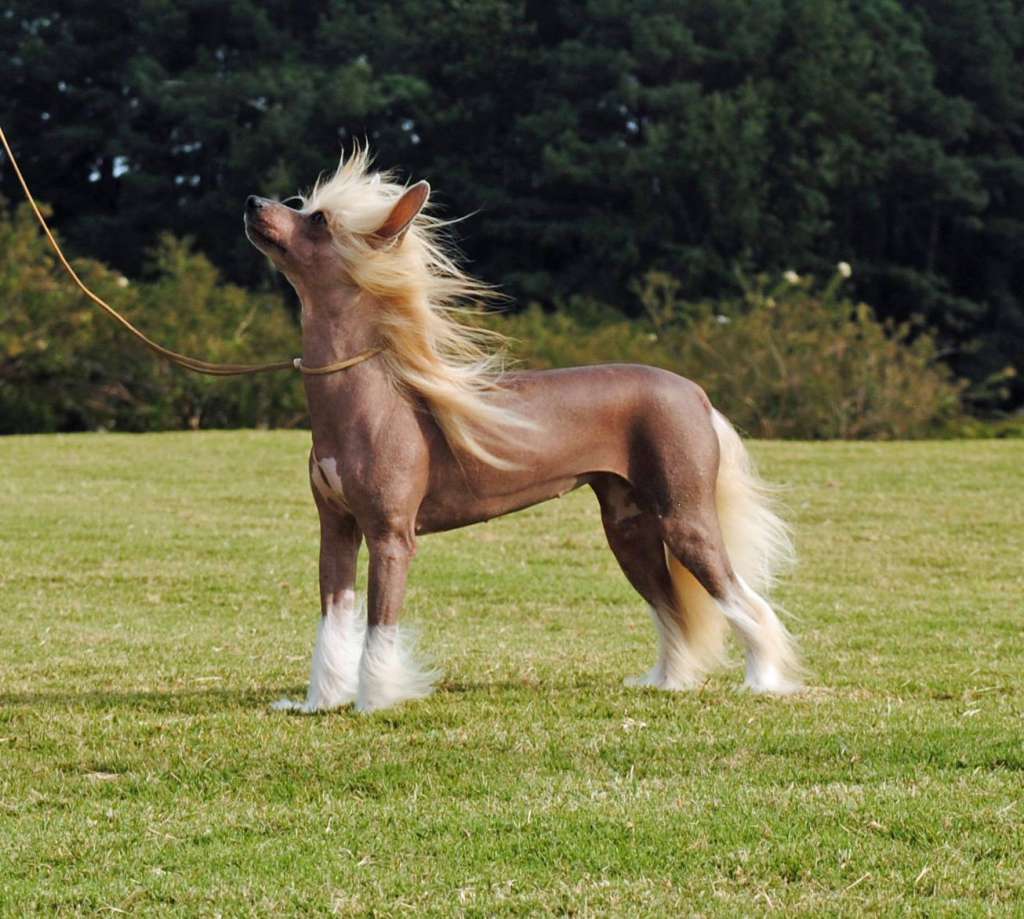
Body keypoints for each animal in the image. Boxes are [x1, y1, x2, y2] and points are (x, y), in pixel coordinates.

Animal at [244, 149, 800, 713]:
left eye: (318, 220)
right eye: (302, 205)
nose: (252, 201)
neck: (369, 397)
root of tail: (695, 393)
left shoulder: (390, 536)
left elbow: (380, 627)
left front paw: (373, 701)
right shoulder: (335, 530)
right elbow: (333, 621)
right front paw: (319, 703)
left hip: (685, 518)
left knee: (744, 600)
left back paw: (763, 680)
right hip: (629, 527)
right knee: (672, 609)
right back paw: (669, 681)